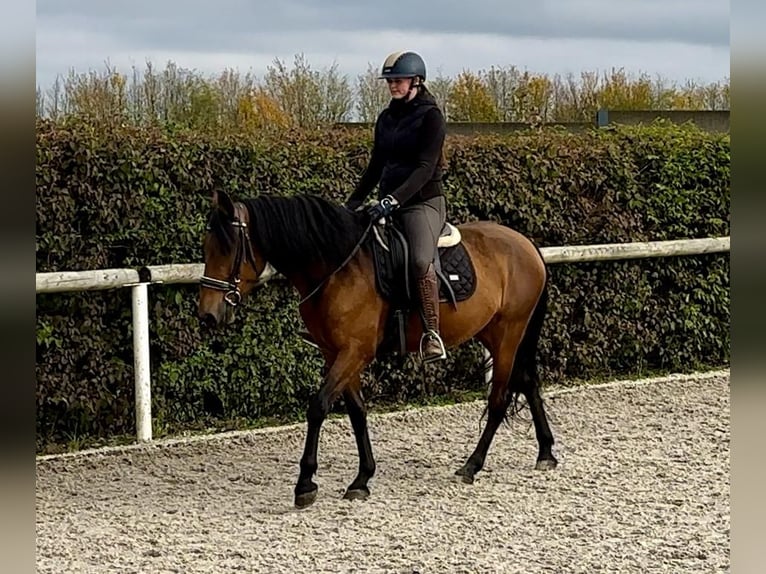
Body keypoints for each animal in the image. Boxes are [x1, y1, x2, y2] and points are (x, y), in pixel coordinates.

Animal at [198, 189, 560, 508]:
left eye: (229, 248)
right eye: (207, 246)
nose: (208, 314)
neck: (338, 266)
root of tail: (526, 244)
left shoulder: (354, 351)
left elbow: (318, 407)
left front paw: (305, 484)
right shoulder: (336, 352)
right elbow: (357, 411)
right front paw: (362, 479)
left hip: (509, 333)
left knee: (499, 399)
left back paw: (471, 465)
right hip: (494, 333)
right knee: (528, 382)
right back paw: (545, 452)